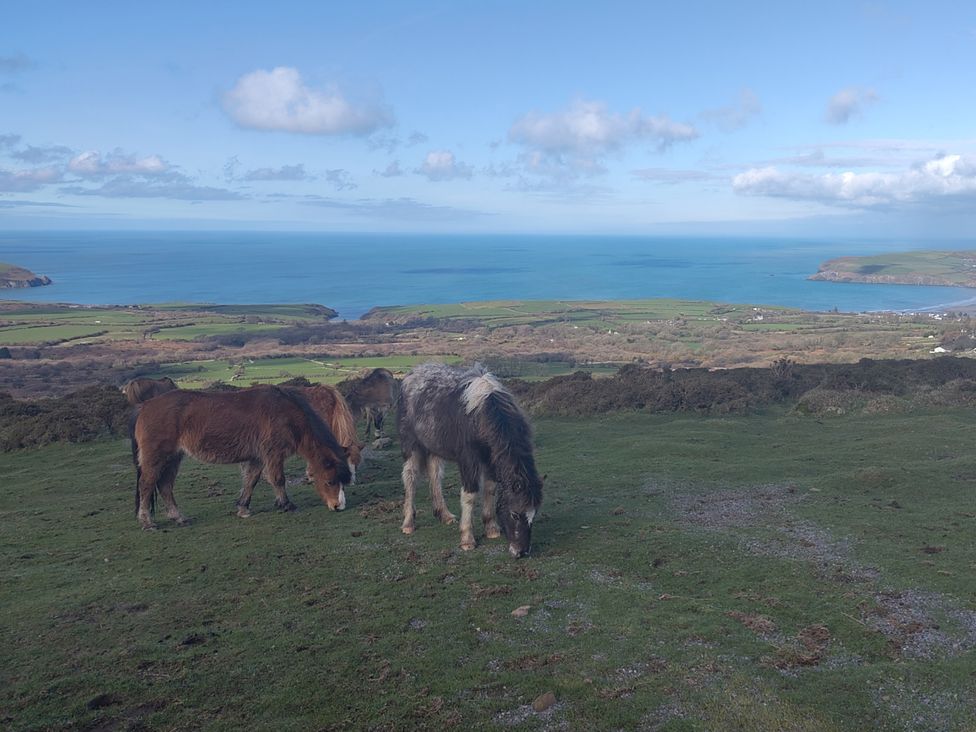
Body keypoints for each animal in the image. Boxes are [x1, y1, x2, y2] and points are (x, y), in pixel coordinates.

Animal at [131, 385, 352, 529]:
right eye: (330, 481)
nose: (338, 506)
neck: (285, 413)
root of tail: (145, 406)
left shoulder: (258, 457)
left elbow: (250, 481)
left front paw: (243, 508)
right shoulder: (273, 453)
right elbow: (278, 479)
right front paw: (287, 504)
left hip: (173, 458)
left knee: (165, 486)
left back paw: (179, 518)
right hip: (157, 457)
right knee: (147, 485)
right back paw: (147, 522)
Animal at [397, 362, 543, 558]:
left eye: (533, 514)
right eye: (514, 514)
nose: (521, 552)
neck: (481, 415)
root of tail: (410, 375)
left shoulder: (490, 460)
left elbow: (490, 489)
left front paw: (491, 528)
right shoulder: (469, 462)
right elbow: (470, 495)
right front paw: (467, 539)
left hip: (435, 448)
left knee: (435, 475)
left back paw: (444, 515)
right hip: (411, 446)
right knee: (410, 477)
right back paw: (408, 524)